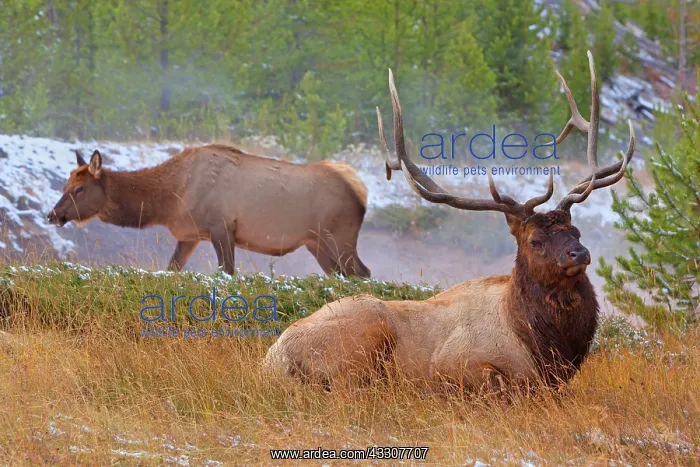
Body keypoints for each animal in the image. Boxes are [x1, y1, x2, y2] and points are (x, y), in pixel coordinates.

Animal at [47, 144, 371, 277]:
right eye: (65, 184)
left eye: (79, 189)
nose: (52, 215)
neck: (169, 200)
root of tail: (361, 193)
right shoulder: (189, 235)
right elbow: (172, 268)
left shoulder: (221, 227)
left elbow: (227, 271)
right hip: (316, 243)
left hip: (339, 236)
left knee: (362, 272)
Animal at [263, 51, 636, 393]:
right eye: (535, 240)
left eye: (576, 231)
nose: (579, 254)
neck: (541, 345)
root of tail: (273, 358)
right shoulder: (454, 363)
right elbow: (499, 385)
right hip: (364, 332)